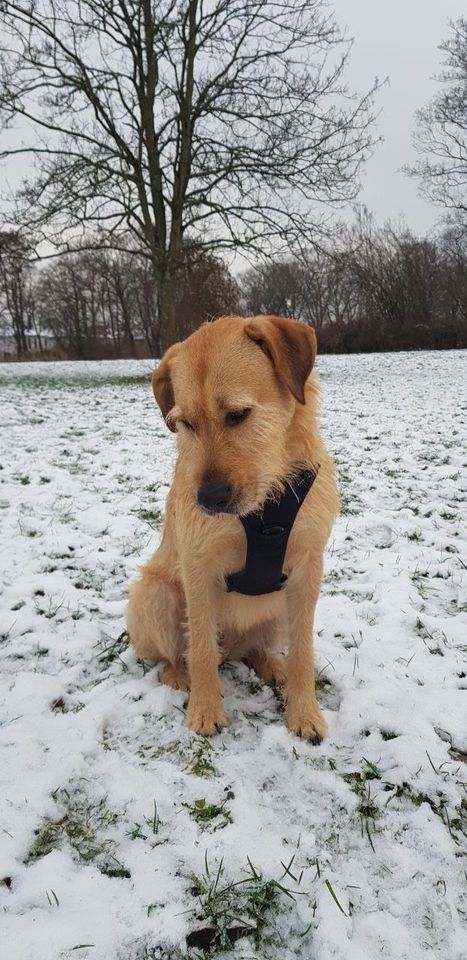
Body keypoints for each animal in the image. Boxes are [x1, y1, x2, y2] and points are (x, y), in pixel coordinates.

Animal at [127, 316, 340, 744]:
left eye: (238, 415)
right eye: (186, 423)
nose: (208, 499)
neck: (264, 508)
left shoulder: (308, 569)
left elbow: (303, 650)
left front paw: (304, 711)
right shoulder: (198, 570)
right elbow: (201, 649)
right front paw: (205, 710)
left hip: (277, 606)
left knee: (255, 648)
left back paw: (270, 663)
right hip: (154, 595)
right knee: (179, 654)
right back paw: (179, 674)